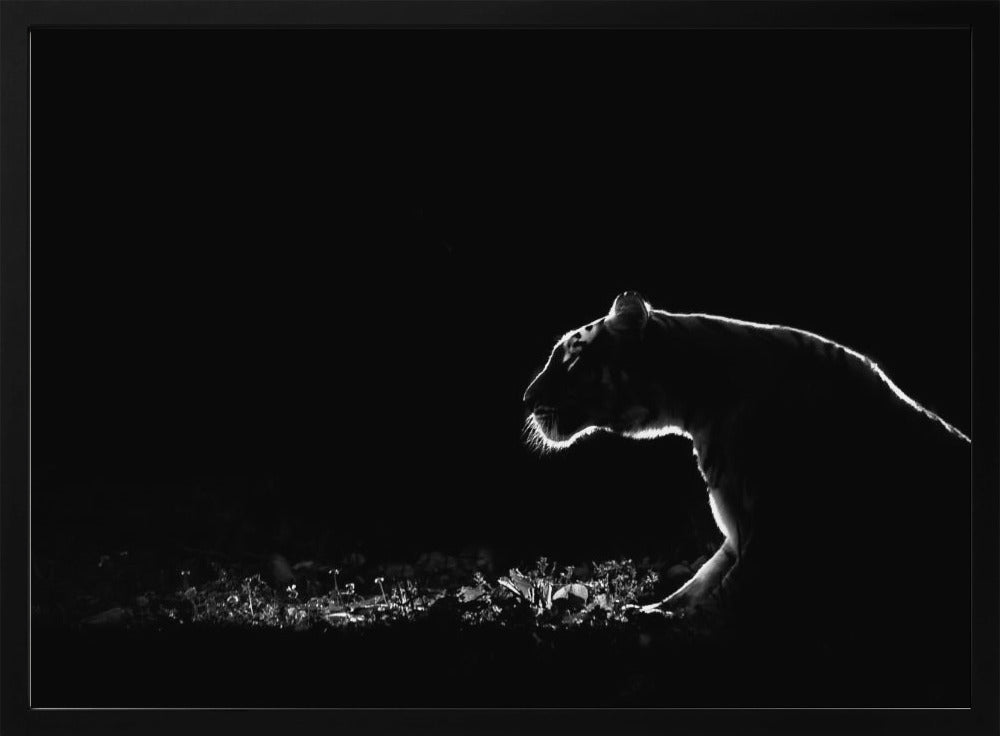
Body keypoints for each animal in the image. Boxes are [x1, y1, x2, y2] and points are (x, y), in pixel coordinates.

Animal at [523, 291, 970, 701]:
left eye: (571, 363)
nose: (526, 400)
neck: (696, 407)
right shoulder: (739, 533)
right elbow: (700, 582)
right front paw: (647, 611)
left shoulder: (773, 533)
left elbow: (721, 598)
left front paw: (658, 627)